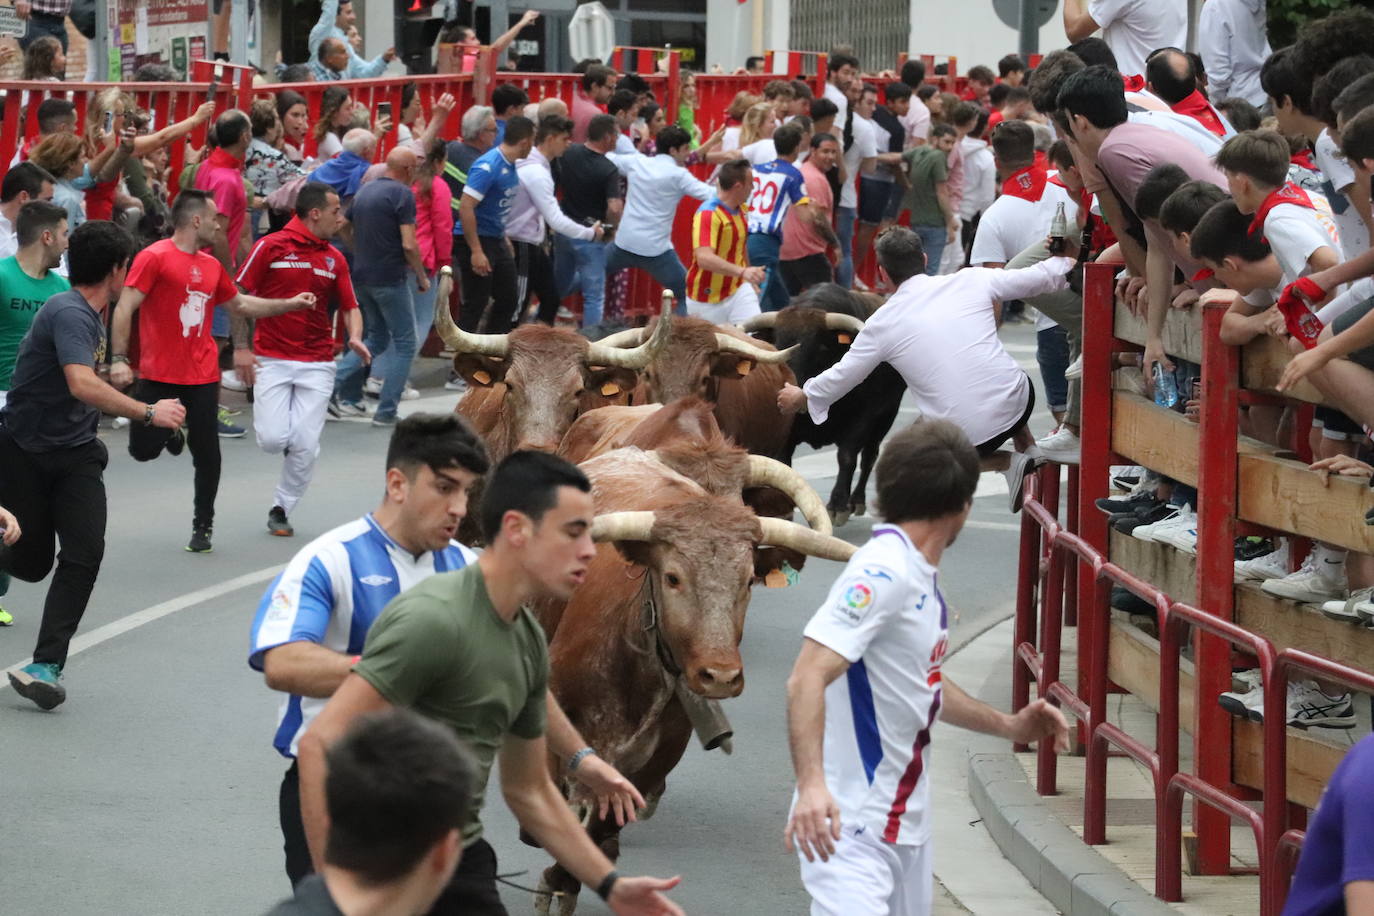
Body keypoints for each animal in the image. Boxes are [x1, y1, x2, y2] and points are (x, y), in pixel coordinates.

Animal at [530, 447, 851, 911]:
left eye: (747, 580)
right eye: (673, 578)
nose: (720, 675)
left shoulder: (663, 751)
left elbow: (602, 823)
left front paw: (564, 881)